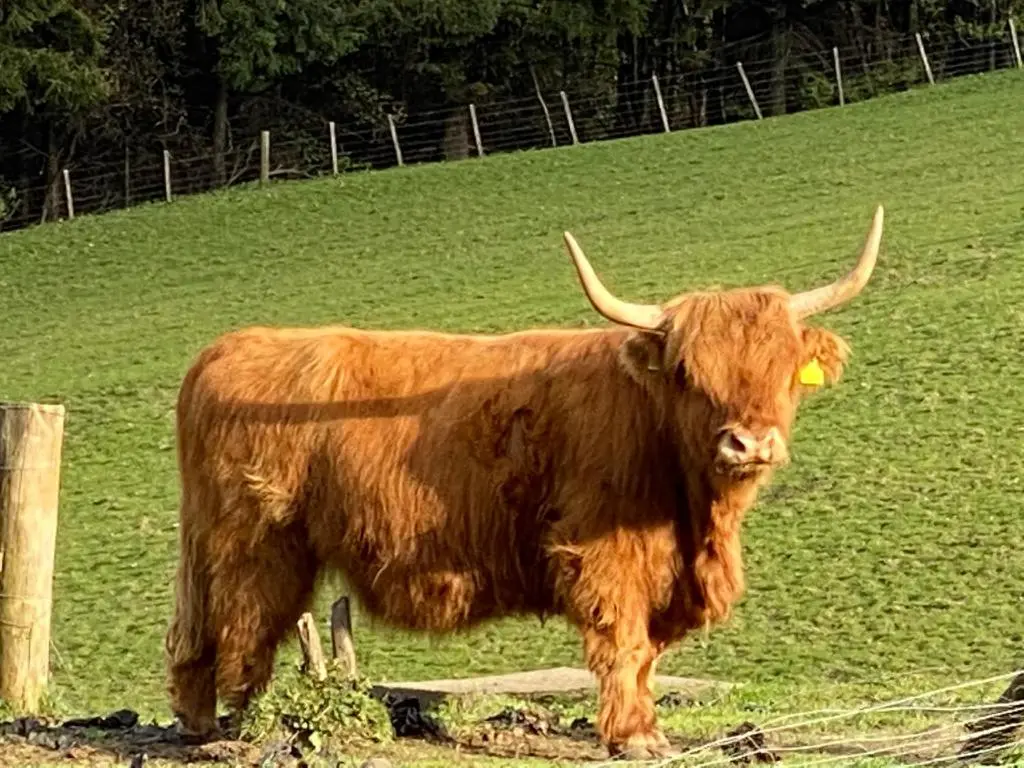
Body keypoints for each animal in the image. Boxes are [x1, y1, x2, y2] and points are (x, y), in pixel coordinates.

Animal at [165, 206, 885, 758]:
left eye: (784, 368)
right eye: (688, 372)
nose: (749, 443)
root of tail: (224, 350)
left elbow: (649, 653)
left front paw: (645, 728)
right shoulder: (604, 554)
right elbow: (625, 642)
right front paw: (632, 737)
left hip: (215, 537)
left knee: (195, 621)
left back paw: (197, 719)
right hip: (257, 542)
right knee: (245, 623)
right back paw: (244, 723)